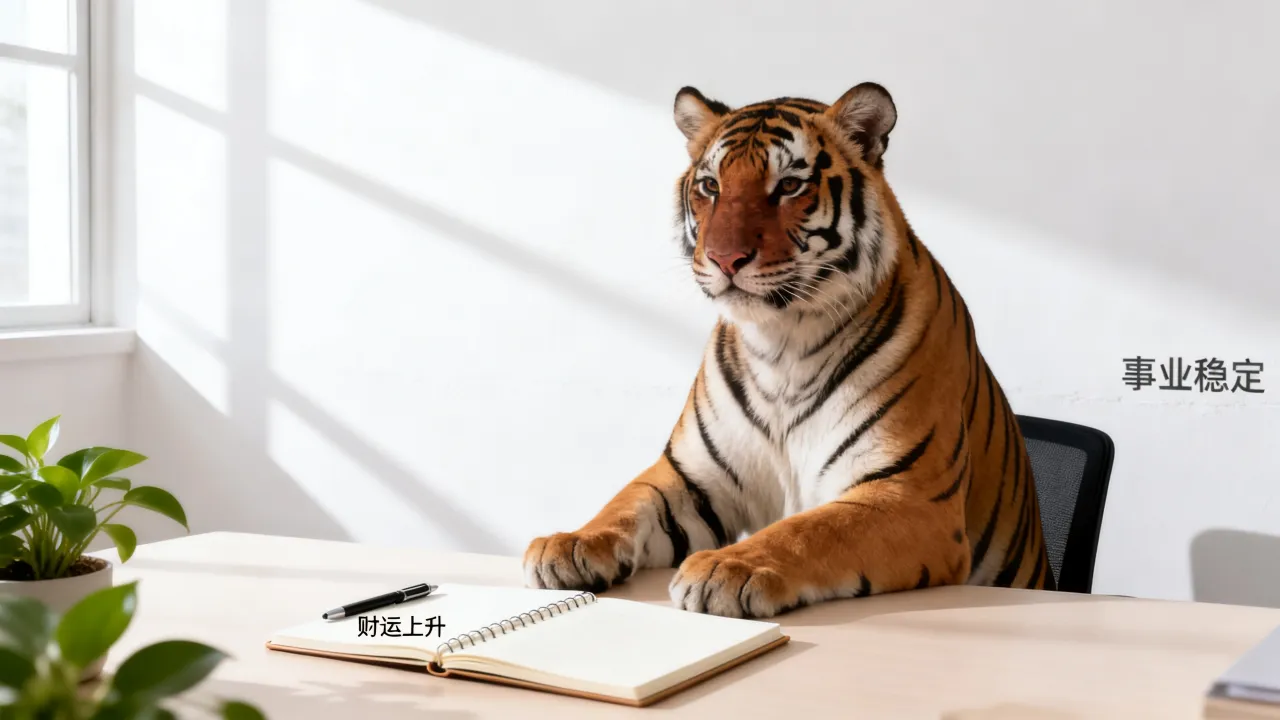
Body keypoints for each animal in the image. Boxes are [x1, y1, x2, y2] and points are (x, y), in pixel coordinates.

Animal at [522, 81, 1055, 619]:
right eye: (711, 186)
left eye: (789, 186)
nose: (723, 258)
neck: (782, 343)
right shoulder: (691, 478)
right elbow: (625, 504)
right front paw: (569, 543)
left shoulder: (909, 494)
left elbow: (811, 530)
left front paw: (726, 567)